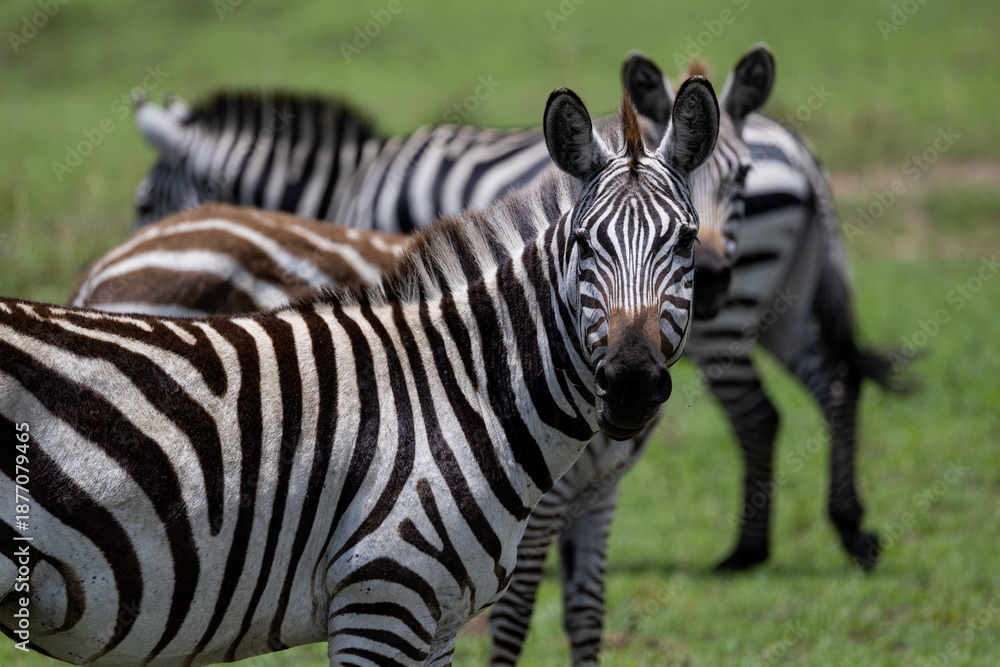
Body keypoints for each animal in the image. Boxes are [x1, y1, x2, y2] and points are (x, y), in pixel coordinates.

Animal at [0, 82, 720, 666]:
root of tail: (108, 267)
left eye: (685, 240)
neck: (460, 394)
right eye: (583, 243)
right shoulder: (381, 598)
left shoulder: (441, 613)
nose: (630, 383)